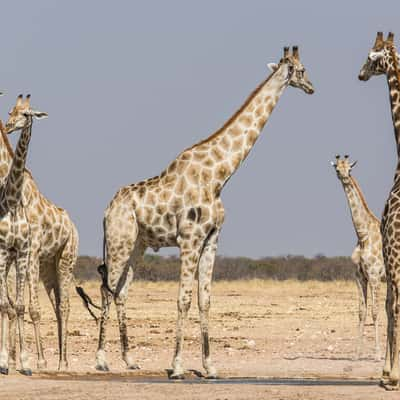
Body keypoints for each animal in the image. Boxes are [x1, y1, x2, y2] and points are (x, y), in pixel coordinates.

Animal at [3, 94, 79, 372]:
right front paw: (13, 359)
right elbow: (12, 305)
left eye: (27, 114)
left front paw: (35, 360)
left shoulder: (29, 252)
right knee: (56, 305)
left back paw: (62, 362)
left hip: (65, 259)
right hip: (48, 265)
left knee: (64, 305)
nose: (8, 125)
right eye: (11, 111)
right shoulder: (15, 255)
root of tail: (73, 225)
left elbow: (27, 307)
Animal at [88, 45, 316, 376]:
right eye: (301, 69)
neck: (219, 176)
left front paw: (209, 366)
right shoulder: (190, 239)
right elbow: (183, 299)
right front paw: (177, 366)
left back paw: (129, 360)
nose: (312, 87)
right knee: (107, 291)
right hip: (119, 242)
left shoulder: (212, 239)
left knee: (121, 292)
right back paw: (101, 360)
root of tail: (107, 210)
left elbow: (204, 300)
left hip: (136, 245)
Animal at [332, 155, 384, 360]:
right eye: (337, 168)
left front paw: (377, 353)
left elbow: (375, 312)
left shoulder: (375, 276)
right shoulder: (359, 276)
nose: (344, 177)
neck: (363, 235)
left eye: (350, 169)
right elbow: (362, 311)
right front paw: (356, 353)